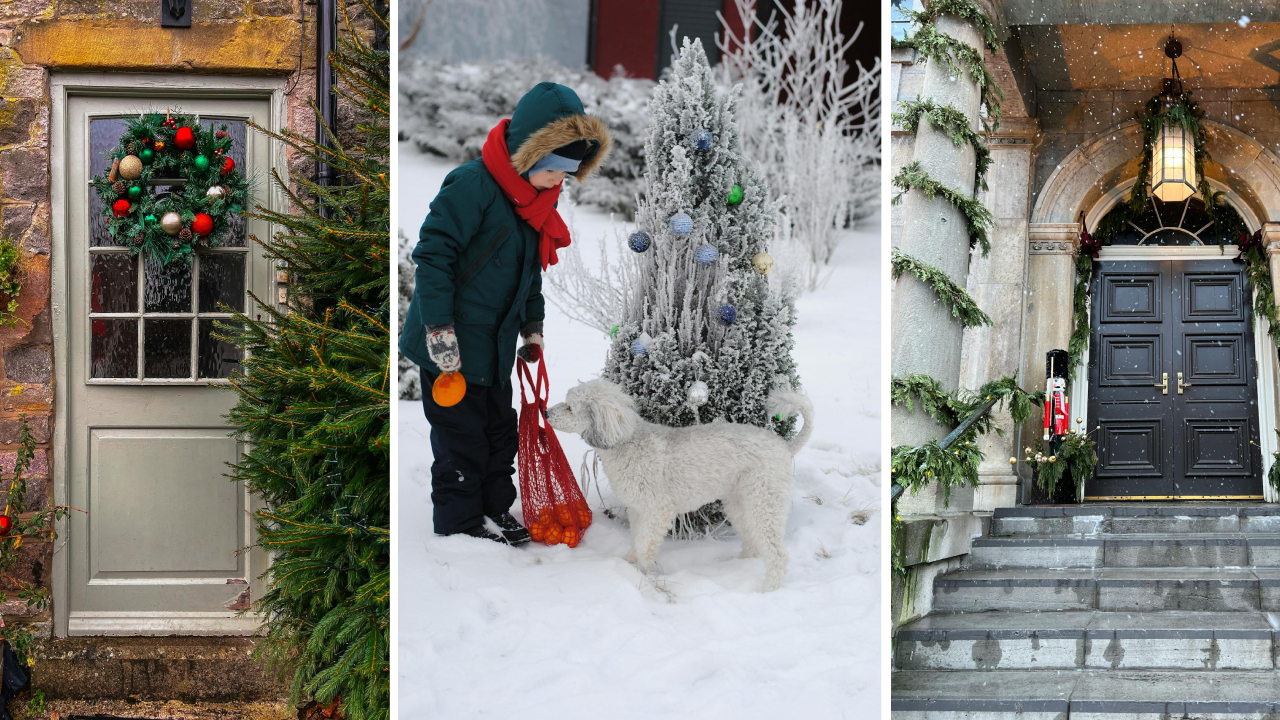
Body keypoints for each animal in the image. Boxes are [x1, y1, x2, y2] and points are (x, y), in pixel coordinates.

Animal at [547, 379, 808, 591]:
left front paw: (645, 575)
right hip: (740, 504)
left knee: (777, 554)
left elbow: (646, 544)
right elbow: (636, 539)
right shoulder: (637, 509)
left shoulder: (656, 511)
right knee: (752, 542)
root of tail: (785, 447)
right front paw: (629, 562)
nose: (546, 413)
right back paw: (736, 565)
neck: (626, 441)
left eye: (570, 407)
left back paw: (768, 590)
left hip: (765, 503)